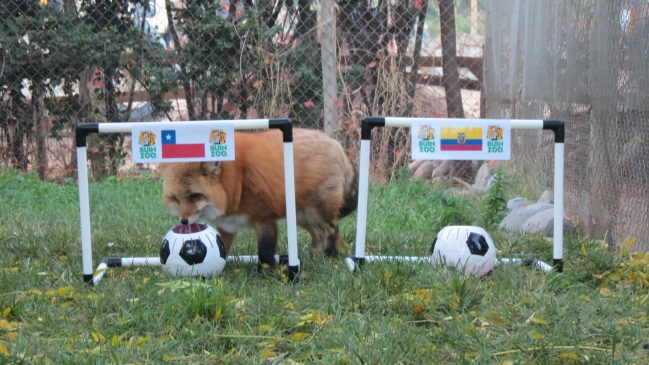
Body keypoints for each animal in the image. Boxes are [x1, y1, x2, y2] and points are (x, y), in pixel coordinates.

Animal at [158, 128, 360, 268]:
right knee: (319, 233)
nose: (183, 222)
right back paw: (314, 255)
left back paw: (330, 255)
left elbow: (264, 252)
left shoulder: (265, 219)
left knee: (333, 229)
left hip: (317, 211)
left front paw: (267, 273)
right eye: (176, 198)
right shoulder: (227, 226)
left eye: (194, 196)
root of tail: (334, 142)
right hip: (302, 216)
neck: (236, 184)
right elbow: (222, 250)